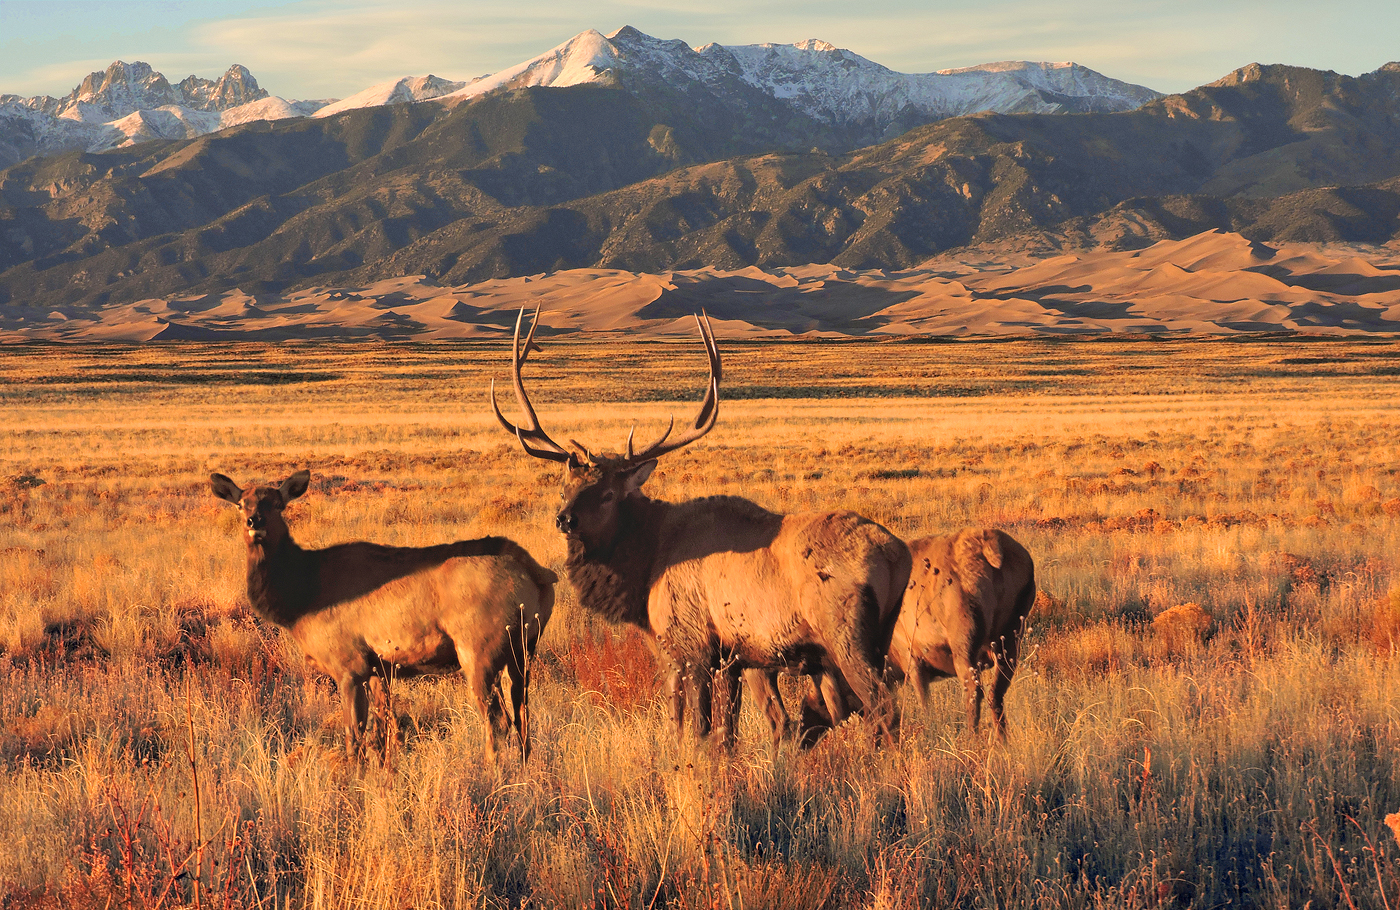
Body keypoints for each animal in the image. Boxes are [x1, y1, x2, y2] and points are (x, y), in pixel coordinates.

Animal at [209, 469, 556, 762]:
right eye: (240, 503)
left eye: (278, 504)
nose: (254, 522)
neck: (300, 599)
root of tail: (538, 574)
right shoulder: (379, 667)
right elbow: (383, 736)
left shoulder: (348, 664)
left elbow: (354, 738)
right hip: (523, 651)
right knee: (523, 717)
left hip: (478, 648)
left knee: (498, 721)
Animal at [490, 307, 912, 750]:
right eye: (564, 488)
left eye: (607, 494)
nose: (564, 519)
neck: (645, 573)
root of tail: (897, 555)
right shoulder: (734, 658)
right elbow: (728, 732)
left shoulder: (687, 644)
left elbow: (690, 727)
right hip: (876, 638)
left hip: (845, 633)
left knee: (882, 707)